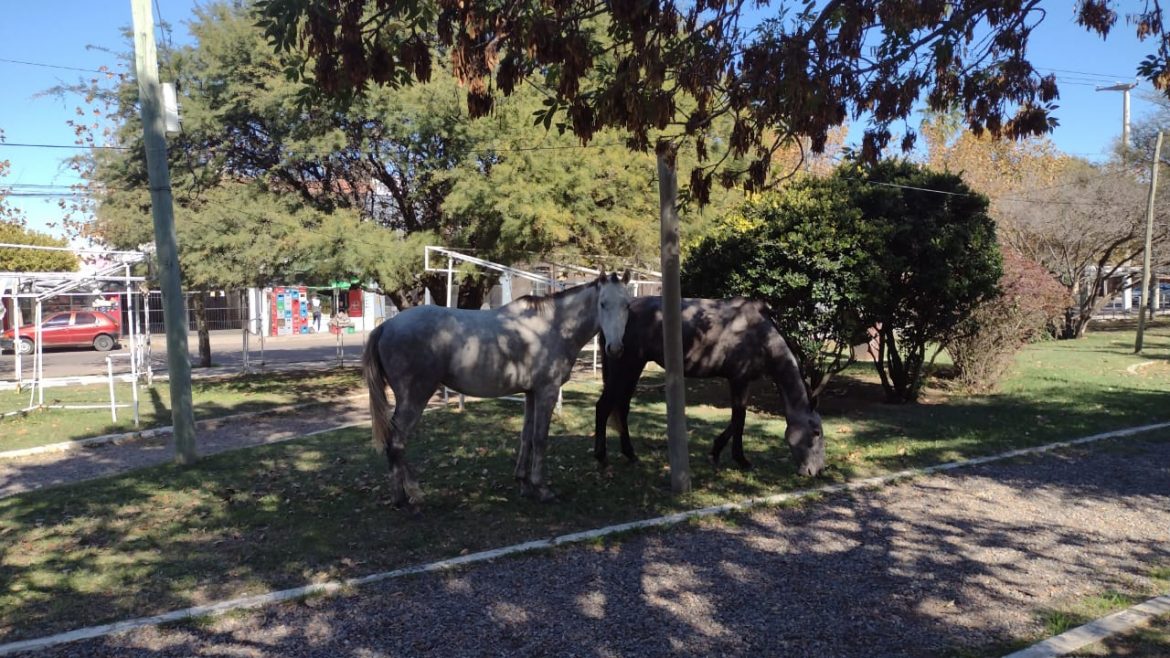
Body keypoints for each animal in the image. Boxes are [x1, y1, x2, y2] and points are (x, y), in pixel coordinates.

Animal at [363, 270, 632, 506]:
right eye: (603, 304)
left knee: (394, 445)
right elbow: (540, 438)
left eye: (627, 305)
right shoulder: (547, 391)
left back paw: (403, 495)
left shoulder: (531, 393)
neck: (551, 327)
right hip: (415, 398)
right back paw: (410, 495)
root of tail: (386, 326)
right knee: (397, 443)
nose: (616, 348)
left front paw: (524, 483)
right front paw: (542, 489)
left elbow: (526, 436)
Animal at [594, 296, 825, 476]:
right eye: (816, 432)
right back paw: (601, 457)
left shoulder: (741, 381)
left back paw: (630, 454)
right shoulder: (739, 380)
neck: (759, 334)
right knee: (604, 406)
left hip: (633, 368)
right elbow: (739, 420)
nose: (816, 471)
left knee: (622, 407)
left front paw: (716, 453)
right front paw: (739, 459)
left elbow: (737, 420)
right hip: (626, 367)